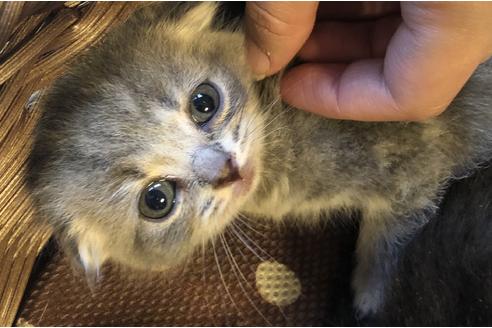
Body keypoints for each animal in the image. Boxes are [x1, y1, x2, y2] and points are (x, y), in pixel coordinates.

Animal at [28, 1, 492, 316]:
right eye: (156, 200)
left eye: (204, 102)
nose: (225, 170)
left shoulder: (416, 170)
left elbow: (387, 240)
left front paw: (367, 297)